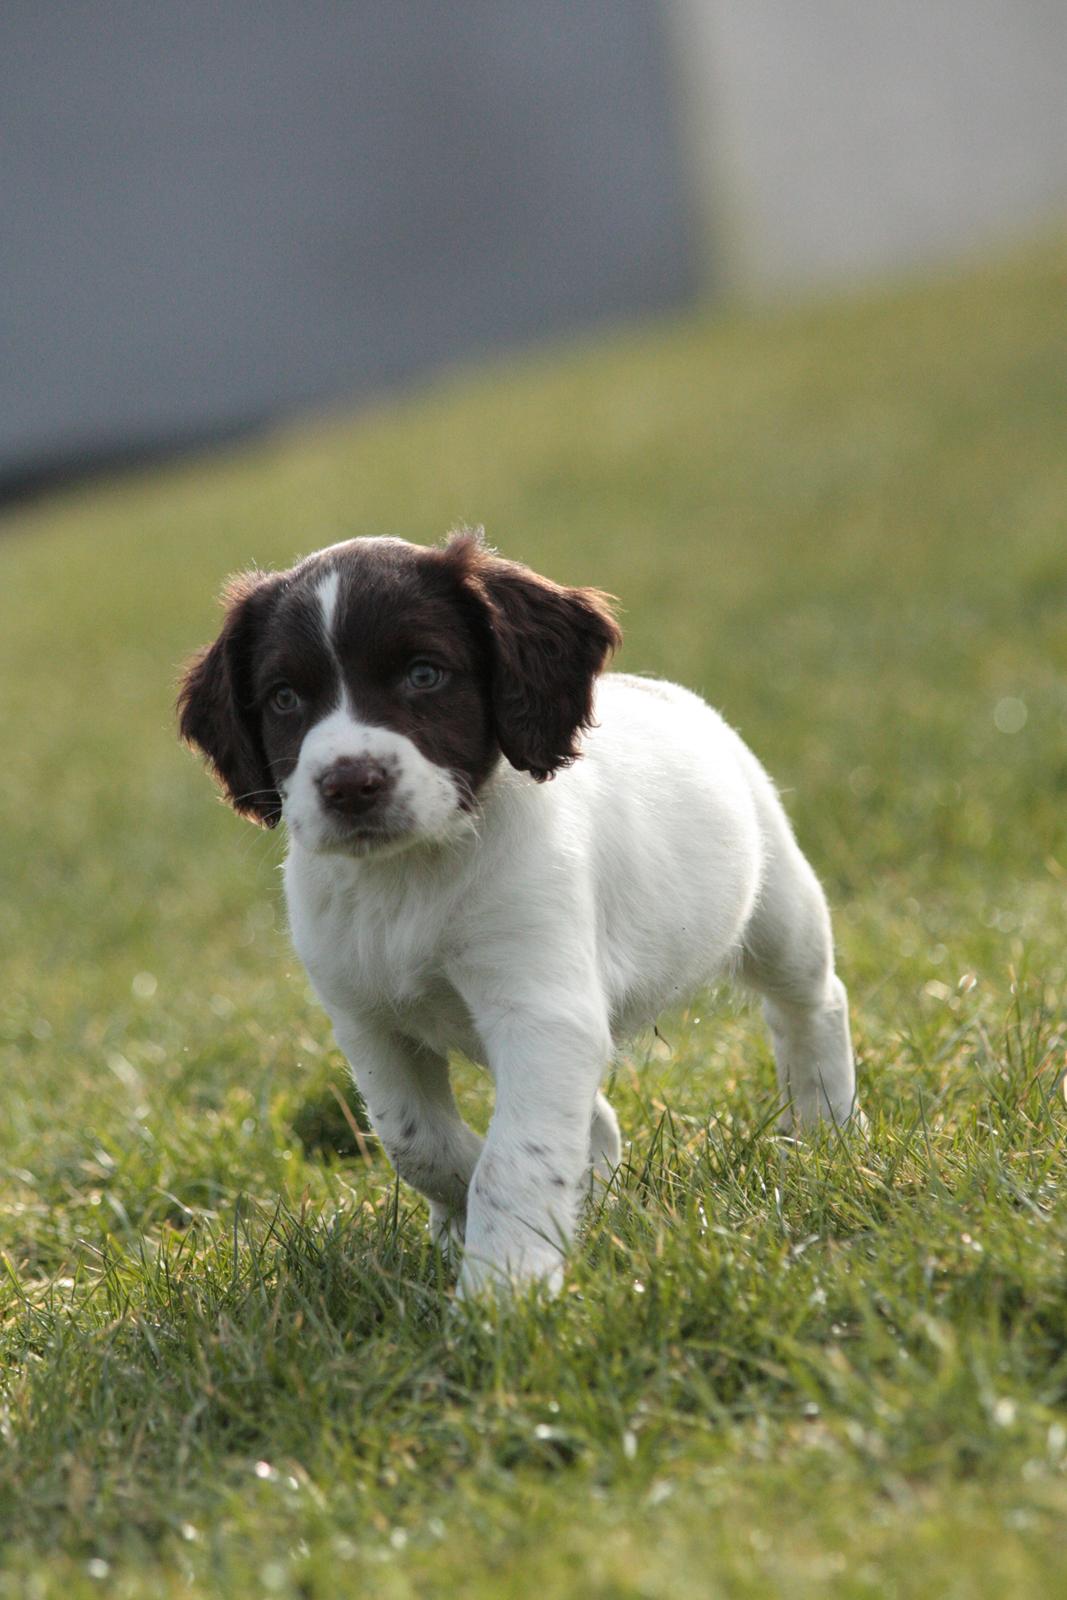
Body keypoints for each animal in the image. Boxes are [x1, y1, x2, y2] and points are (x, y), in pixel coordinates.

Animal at [177, 531, 857, 1292]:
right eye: (285, 697)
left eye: (424, 674)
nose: (350, 784)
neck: (410, 875)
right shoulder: (368, 1021)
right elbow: (417, 1141)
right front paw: (481, 1224)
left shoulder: (540, 1010)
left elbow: (512, 1159)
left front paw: (506, 1288)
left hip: (778, 909)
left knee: (809, 1002)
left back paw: (826, 1127)